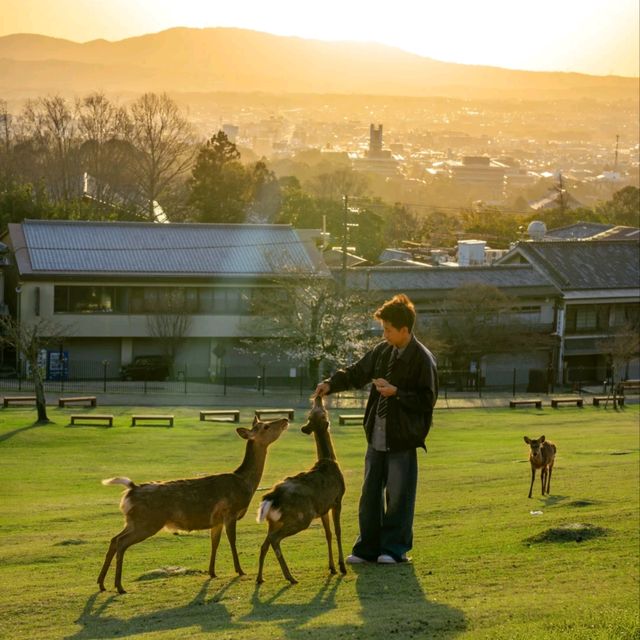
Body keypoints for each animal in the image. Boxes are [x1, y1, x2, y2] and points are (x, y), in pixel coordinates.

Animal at [97, 416, 288, 596]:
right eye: (266, 426)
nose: (285, 420)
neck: (245, 484)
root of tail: (130, 491)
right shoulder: (230, 512)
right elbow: (232, 541)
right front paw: (240, 571)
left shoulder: (216, 520)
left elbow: (214, 543)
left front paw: (212, 572)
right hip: (147, 522)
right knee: (121, 542)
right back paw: (119, 586)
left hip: (132, 521)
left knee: (114, 539)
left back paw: (101, 584)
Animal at [255, 396, 344, 584]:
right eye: (322, 411)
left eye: (316, 411)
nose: (318, 397)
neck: (329, 461)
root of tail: (271, 497)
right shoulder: (337, 499)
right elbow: (338, 532)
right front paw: (341, 567)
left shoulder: (323, 508)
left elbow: (328, 533)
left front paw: (332, 567)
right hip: (302, 517)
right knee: (274, 539)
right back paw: (290, 577)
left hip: (273, 520)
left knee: (264, 544)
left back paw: (260, 578)